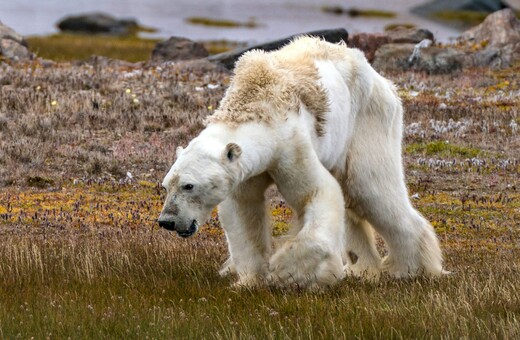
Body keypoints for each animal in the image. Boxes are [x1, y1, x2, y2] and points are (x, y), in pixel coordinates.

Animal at [157, 36, 442, 286]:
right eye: (166, 185)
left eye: (189, 185)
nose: (167, 221)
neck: (255, 105)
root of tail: (383, 81)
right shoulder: (245, 171)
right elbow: (243, 211)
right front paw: (249, 280)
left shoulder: (290, 145)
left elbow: (316, 193)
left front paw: (287, 271)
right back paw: (362, 268)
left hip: (367, 121)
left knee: (371, 189)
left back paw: (410, 269)